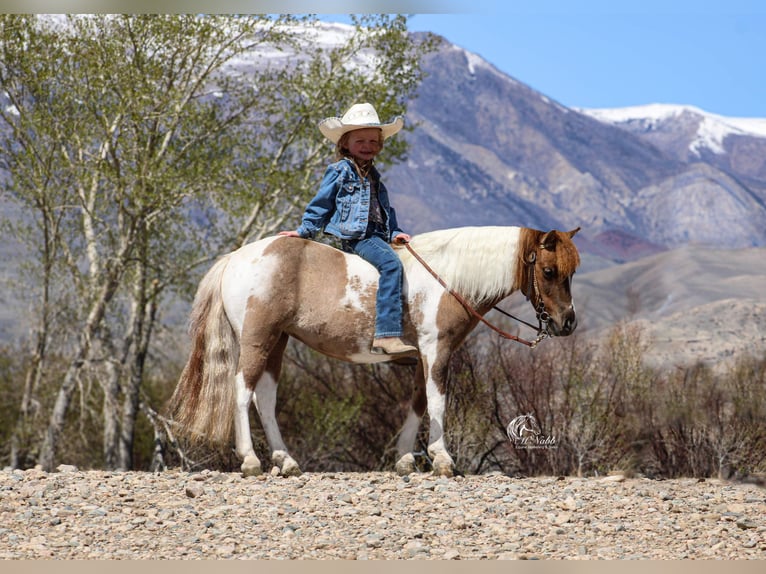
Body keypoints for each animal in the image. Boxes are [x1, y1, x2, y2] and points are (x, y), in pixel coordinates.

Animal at [168, 225, 581, 477]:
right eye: (548, 271)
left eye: (571, 271)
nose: (567, 323)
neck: (448, 279)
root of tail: (235, 259)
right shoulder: (437, 351)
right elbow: (437, 401)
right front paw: (443, 459)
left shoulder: (422, 359)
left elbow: (417, 404)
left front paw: (405, 459)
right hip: (258, 338)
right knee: (242, 391)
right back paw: (251, 460)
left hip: (277, 341)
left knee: (265, 398)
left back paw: (286, 461)